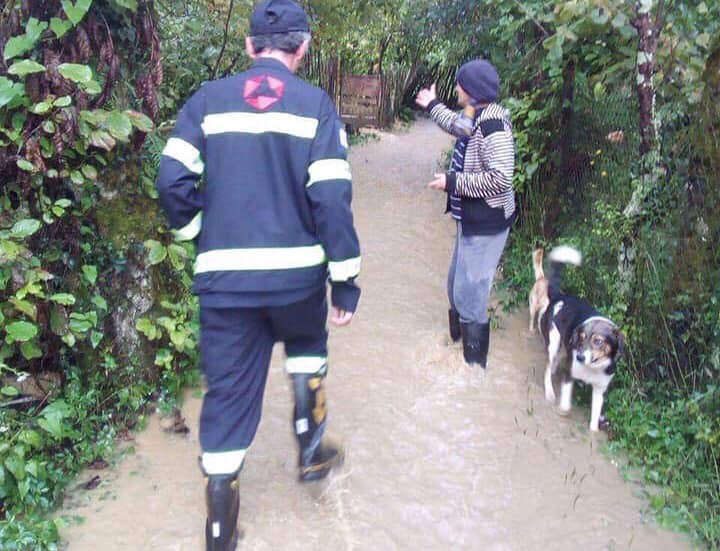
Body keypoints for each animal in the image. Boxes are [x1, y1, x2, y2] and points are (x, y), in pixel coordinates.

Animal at [528, 248, 624, 434]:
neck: (592, 367)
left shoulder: (600, 389)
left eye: (598, 341)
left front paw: (593, 430)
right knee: (548, 367)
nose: (579, 357)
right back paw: (550, 391)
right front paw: (563, 410)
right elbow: (566, 405)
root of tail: (558, 295)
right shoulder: (569, 372)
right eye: (581, 337)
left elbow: (594, 421)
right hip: (554, 343)